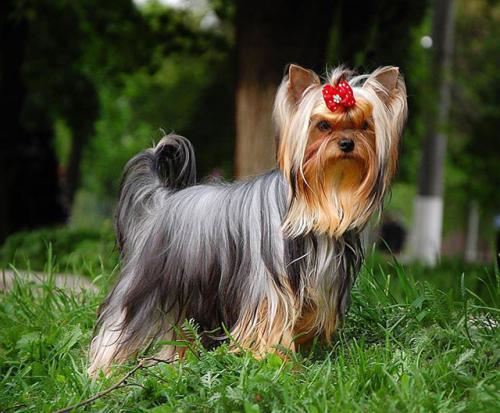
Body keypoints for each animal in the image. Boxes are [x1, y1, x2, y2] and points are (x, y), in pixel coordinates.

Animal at [88, 64, 407, 375]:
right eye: (323, 125)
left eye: (365, 125)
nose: (346, 143)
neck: (323, 196)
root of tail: (162, 200)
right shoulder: (270, 288)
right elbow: (273, 324)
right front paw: (276, 362)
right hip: (147, 286)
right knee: (118, 327)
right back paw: (102, 371)